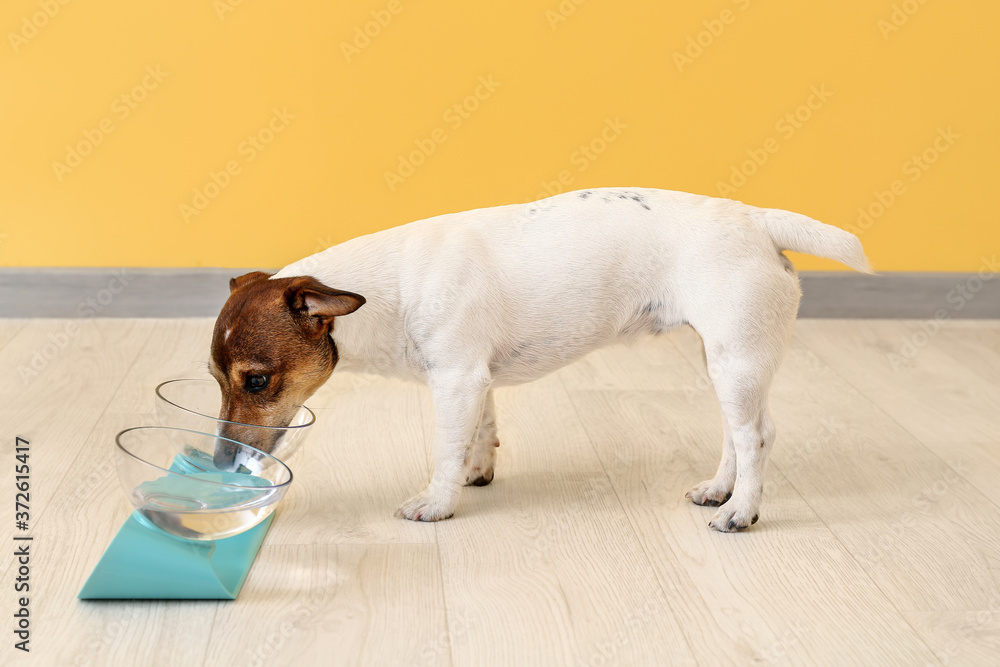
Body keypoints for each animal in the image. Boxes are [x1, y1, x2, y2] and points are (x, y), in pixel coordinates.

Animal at [209, 188, 868, 532]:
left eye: (257, 381)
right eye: (216, 379)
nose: (220, 464)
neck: (390, 287)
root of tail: (756, 219)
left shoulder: (456, 381)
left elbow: (444, 451)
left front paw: (438, 502)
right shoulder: (477, 381)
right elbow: (482, 430)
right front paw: (477, 470)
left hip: (737, 358)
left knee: (757, 436)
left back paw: (742, 511)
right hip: (726, 363)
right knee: (737, 433)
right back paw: (719, 491)